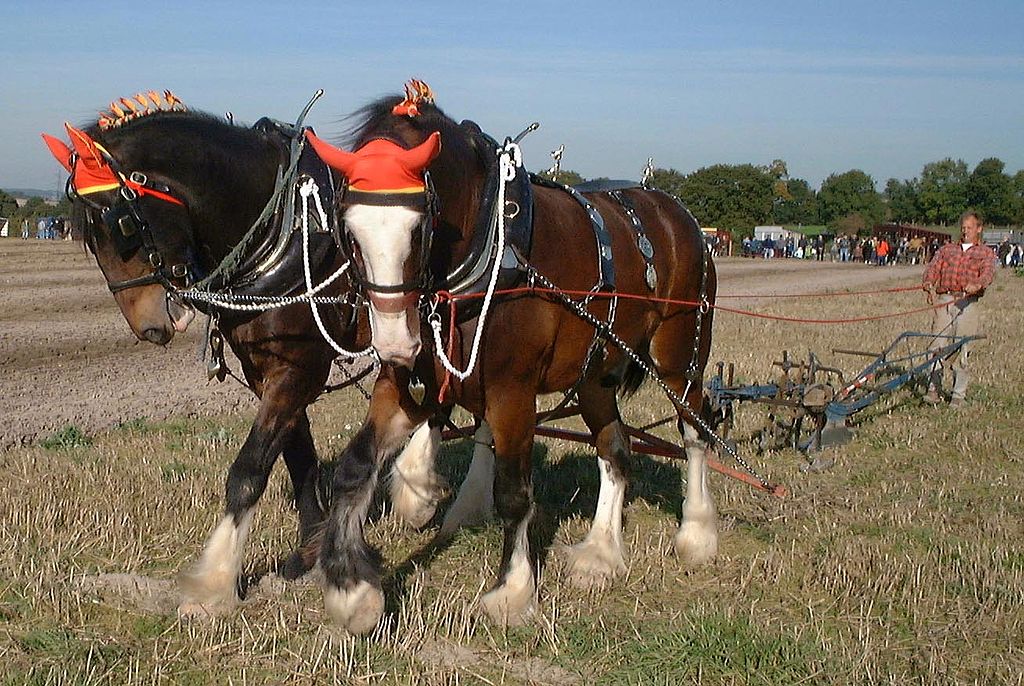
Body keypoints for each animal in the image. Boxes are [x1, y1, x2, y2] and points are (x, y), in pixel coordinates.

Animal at [41, 92, 447, 618]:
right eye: (87, 237)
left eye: (124, 225)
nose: (150, 327)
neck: (281, 231)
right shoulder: (268, 371)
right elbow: (298, 459)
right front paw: (308, 550)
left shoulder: (298, 369)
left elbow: (250, 469)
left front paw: (214, 584)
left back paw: (420, 488)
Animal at [303, 82, 719, 632]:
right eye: (349, 229)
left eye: (420, 226)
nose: (395, 341)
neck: (485, 247)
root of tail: (680, 215)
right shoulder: (407, 379)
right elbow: (356, 465)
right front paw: (353, 590)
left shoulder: (513, 390)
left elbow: (514, 494)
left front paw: (513, 591)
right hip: (596, 374)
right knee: (615, 448)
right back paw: (601, 551)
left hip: (678, 359)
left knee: (695, 430)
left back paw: (697, 532)